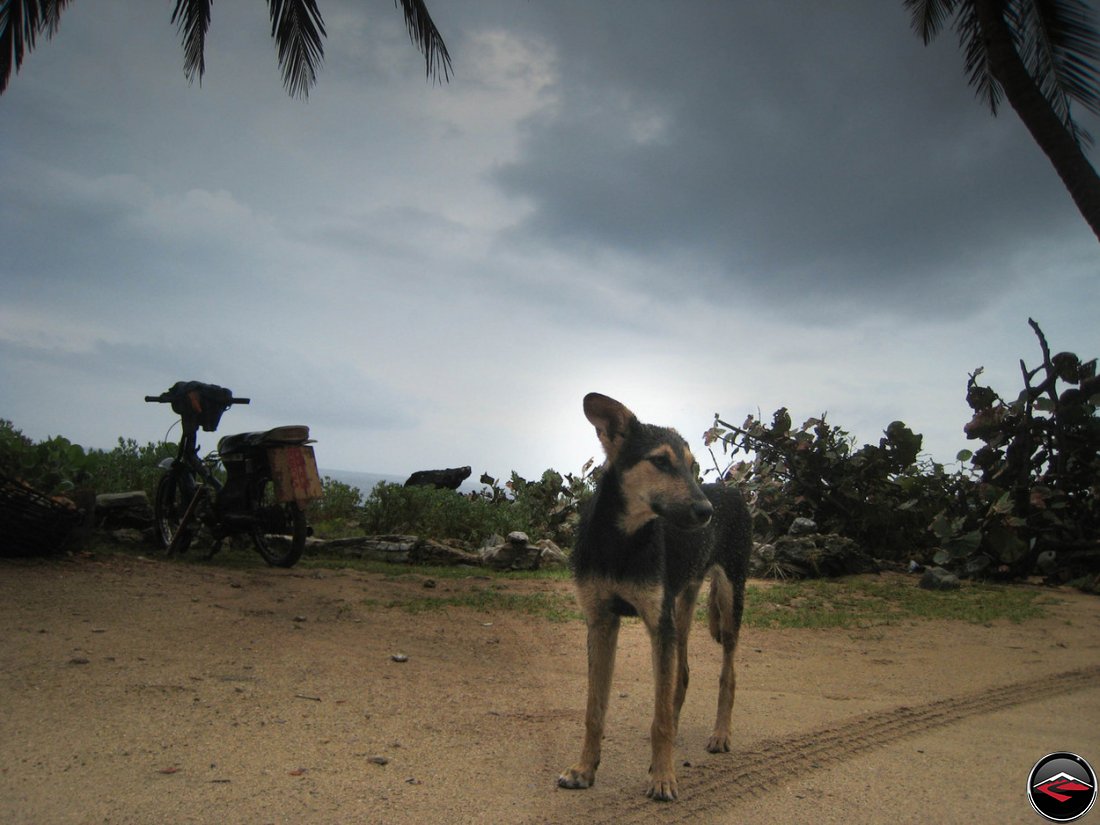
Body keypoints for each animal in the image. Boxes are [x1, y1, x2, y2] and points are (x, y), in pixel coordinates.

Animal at [558, 393, 748, 800]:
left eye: (694, 467)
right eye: (660, 461)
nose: (706, 512)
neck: (622, 543)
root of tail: (731, 490)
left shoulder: (657, 624)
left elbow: (658, 719)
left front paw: (662, 776)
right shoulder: (601, 621)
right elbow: (594, 711)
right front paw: (584, 769)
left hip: (729, 597)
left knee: (728, 673)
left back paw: (720, 734)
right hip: (682, 605)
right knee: (682, 675)